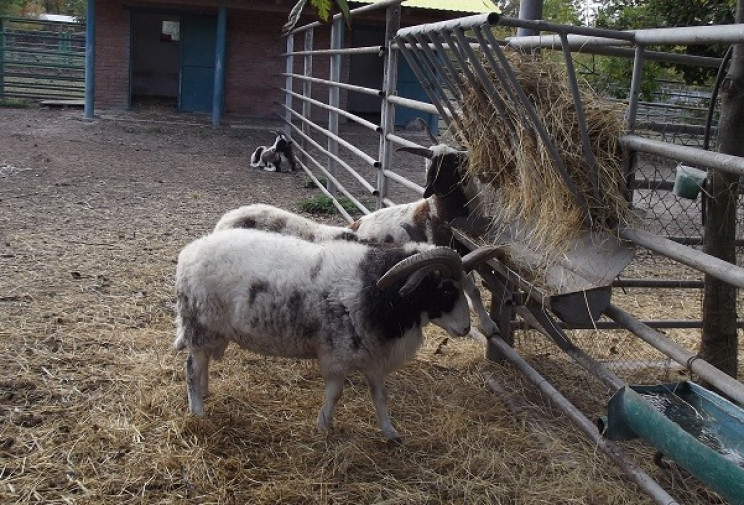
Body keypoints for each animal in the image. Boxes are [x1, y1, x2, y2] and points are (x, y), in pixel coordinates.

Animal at [174, 228, 500, 440]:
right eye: (445, 288)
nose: (466, 328)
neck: (378, 291)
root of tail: (188, 254)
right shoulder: (337, 354)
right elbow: (336, 393)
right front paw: (324, 425)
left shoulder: (373, 355)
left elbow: (379, 395)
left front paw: (390, 432)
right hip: (200, 325)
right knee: (191, 366)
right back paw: (197, 410)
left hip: (212, 331)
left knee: (202, 363)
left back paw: (204, 392)